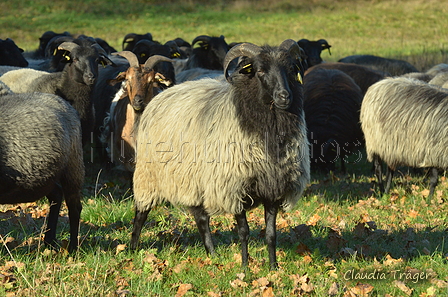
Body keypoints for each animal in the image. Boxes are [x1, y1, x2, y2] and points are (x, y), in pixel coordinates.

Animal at [0, 80, 84, 250]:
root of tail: (60, 100)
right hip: (46, 175)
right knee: (56, 196)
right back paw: (49, 240)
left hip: (73, 166)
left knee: (74, 206)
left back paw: (72, 247)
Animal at [131, 38, 310, 268]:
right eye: (260, 70)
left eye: (289, 69)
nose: (284, 96)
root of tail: (161, 96)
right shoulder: (234, 185)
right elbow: (243, 232)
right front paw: (245, 266)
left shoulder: (273, 187)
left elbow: (271, 234)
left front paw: (273, 267)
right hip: (149, 174)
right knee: (141, 212)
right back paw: (133, 247)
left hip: (192, 177)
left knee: (201, 218)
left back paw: (212, 254)